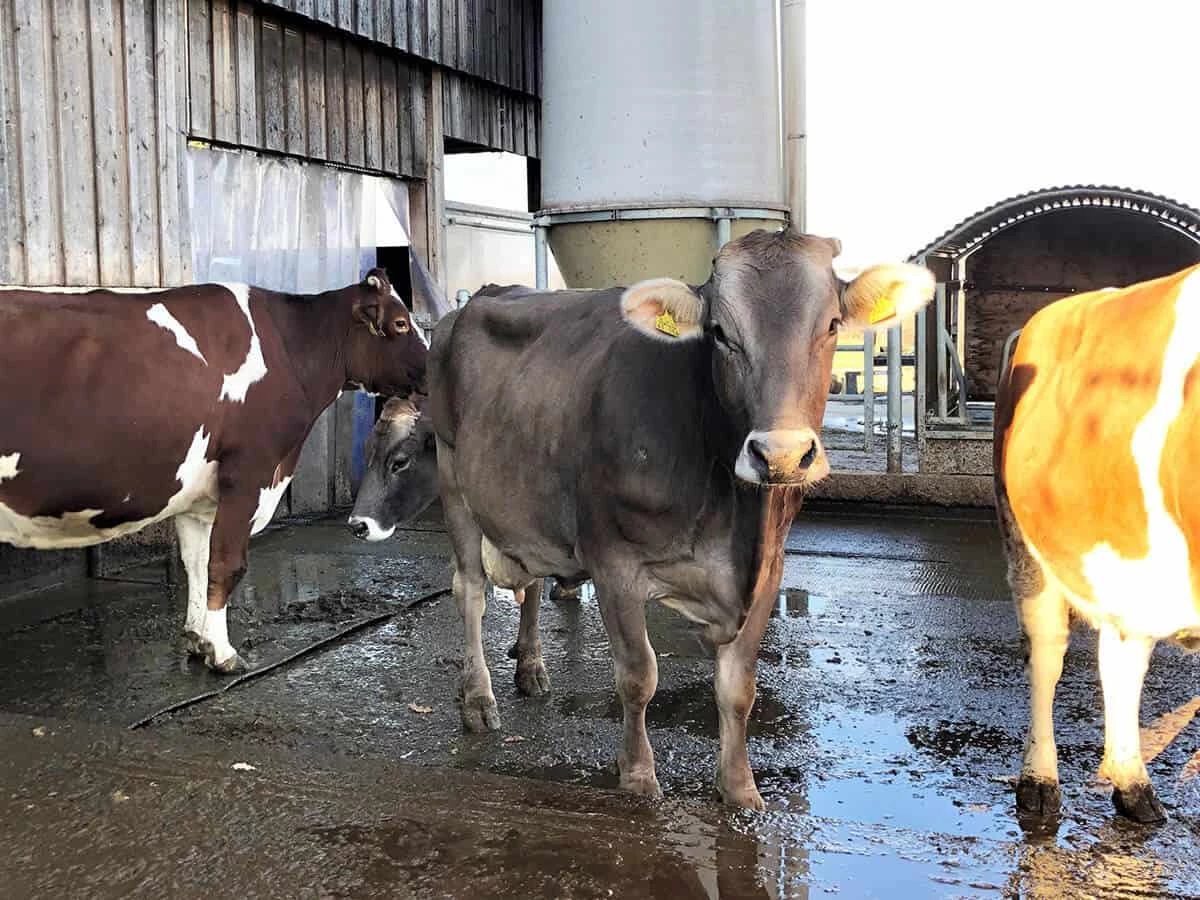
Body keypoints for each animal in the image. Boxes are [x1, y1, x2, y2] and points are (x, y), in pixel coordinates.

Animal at [0, 271, 429, 672]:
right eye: (401, 323)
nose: (431, 374)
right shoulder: (248, 472)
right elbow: (226, 563)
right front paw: (222, 654)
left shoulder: (200, 494)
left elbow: (197, 561)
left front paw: (197, 638)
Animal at [427, 226, 931, 811]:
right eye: (719, 333)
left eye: (830, 325)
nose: (780, 455)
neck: (734, 517)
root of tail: (484, 295)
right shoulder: (613, 560)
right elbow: (638, 675)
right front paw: (639, 777)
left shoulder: (769, 570)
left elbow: (738, 687)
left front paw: (740, 790)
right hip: (452, 473)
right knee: (471, 590)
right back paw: (477, 698)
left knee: (527, 580)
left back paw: (530, 668)